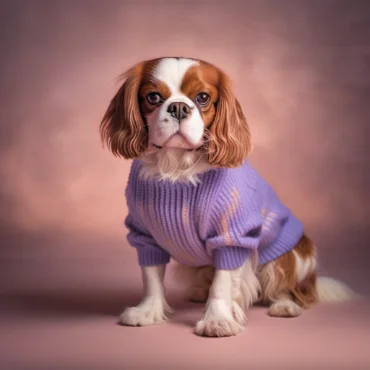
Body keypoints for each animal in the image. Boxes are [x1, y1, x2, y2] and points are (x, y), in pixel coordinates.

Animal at [99, 56, 356, 336]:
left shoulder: (231, 236)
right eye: (153, 97)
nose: (178, 108)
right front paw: (148, 312)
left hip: (289, 255)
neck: (176, 168)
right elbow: (152, 278)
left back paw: (285, 305)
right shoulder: (145, 236)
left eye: (202, 97)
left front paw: (217, 320)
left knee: (287, 288)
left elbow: (222, 284)